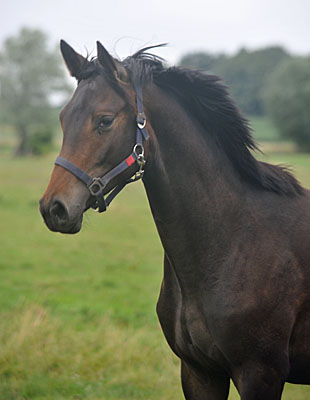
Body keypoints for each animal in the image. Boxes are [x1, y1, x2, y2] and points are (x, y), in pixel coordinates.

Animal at [40, 40, 310, 400]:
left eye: (105, 120)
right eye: (63, 117)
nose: (53, 208)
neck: (234, 239)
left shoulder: (260, 374)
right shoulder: (198, 372)